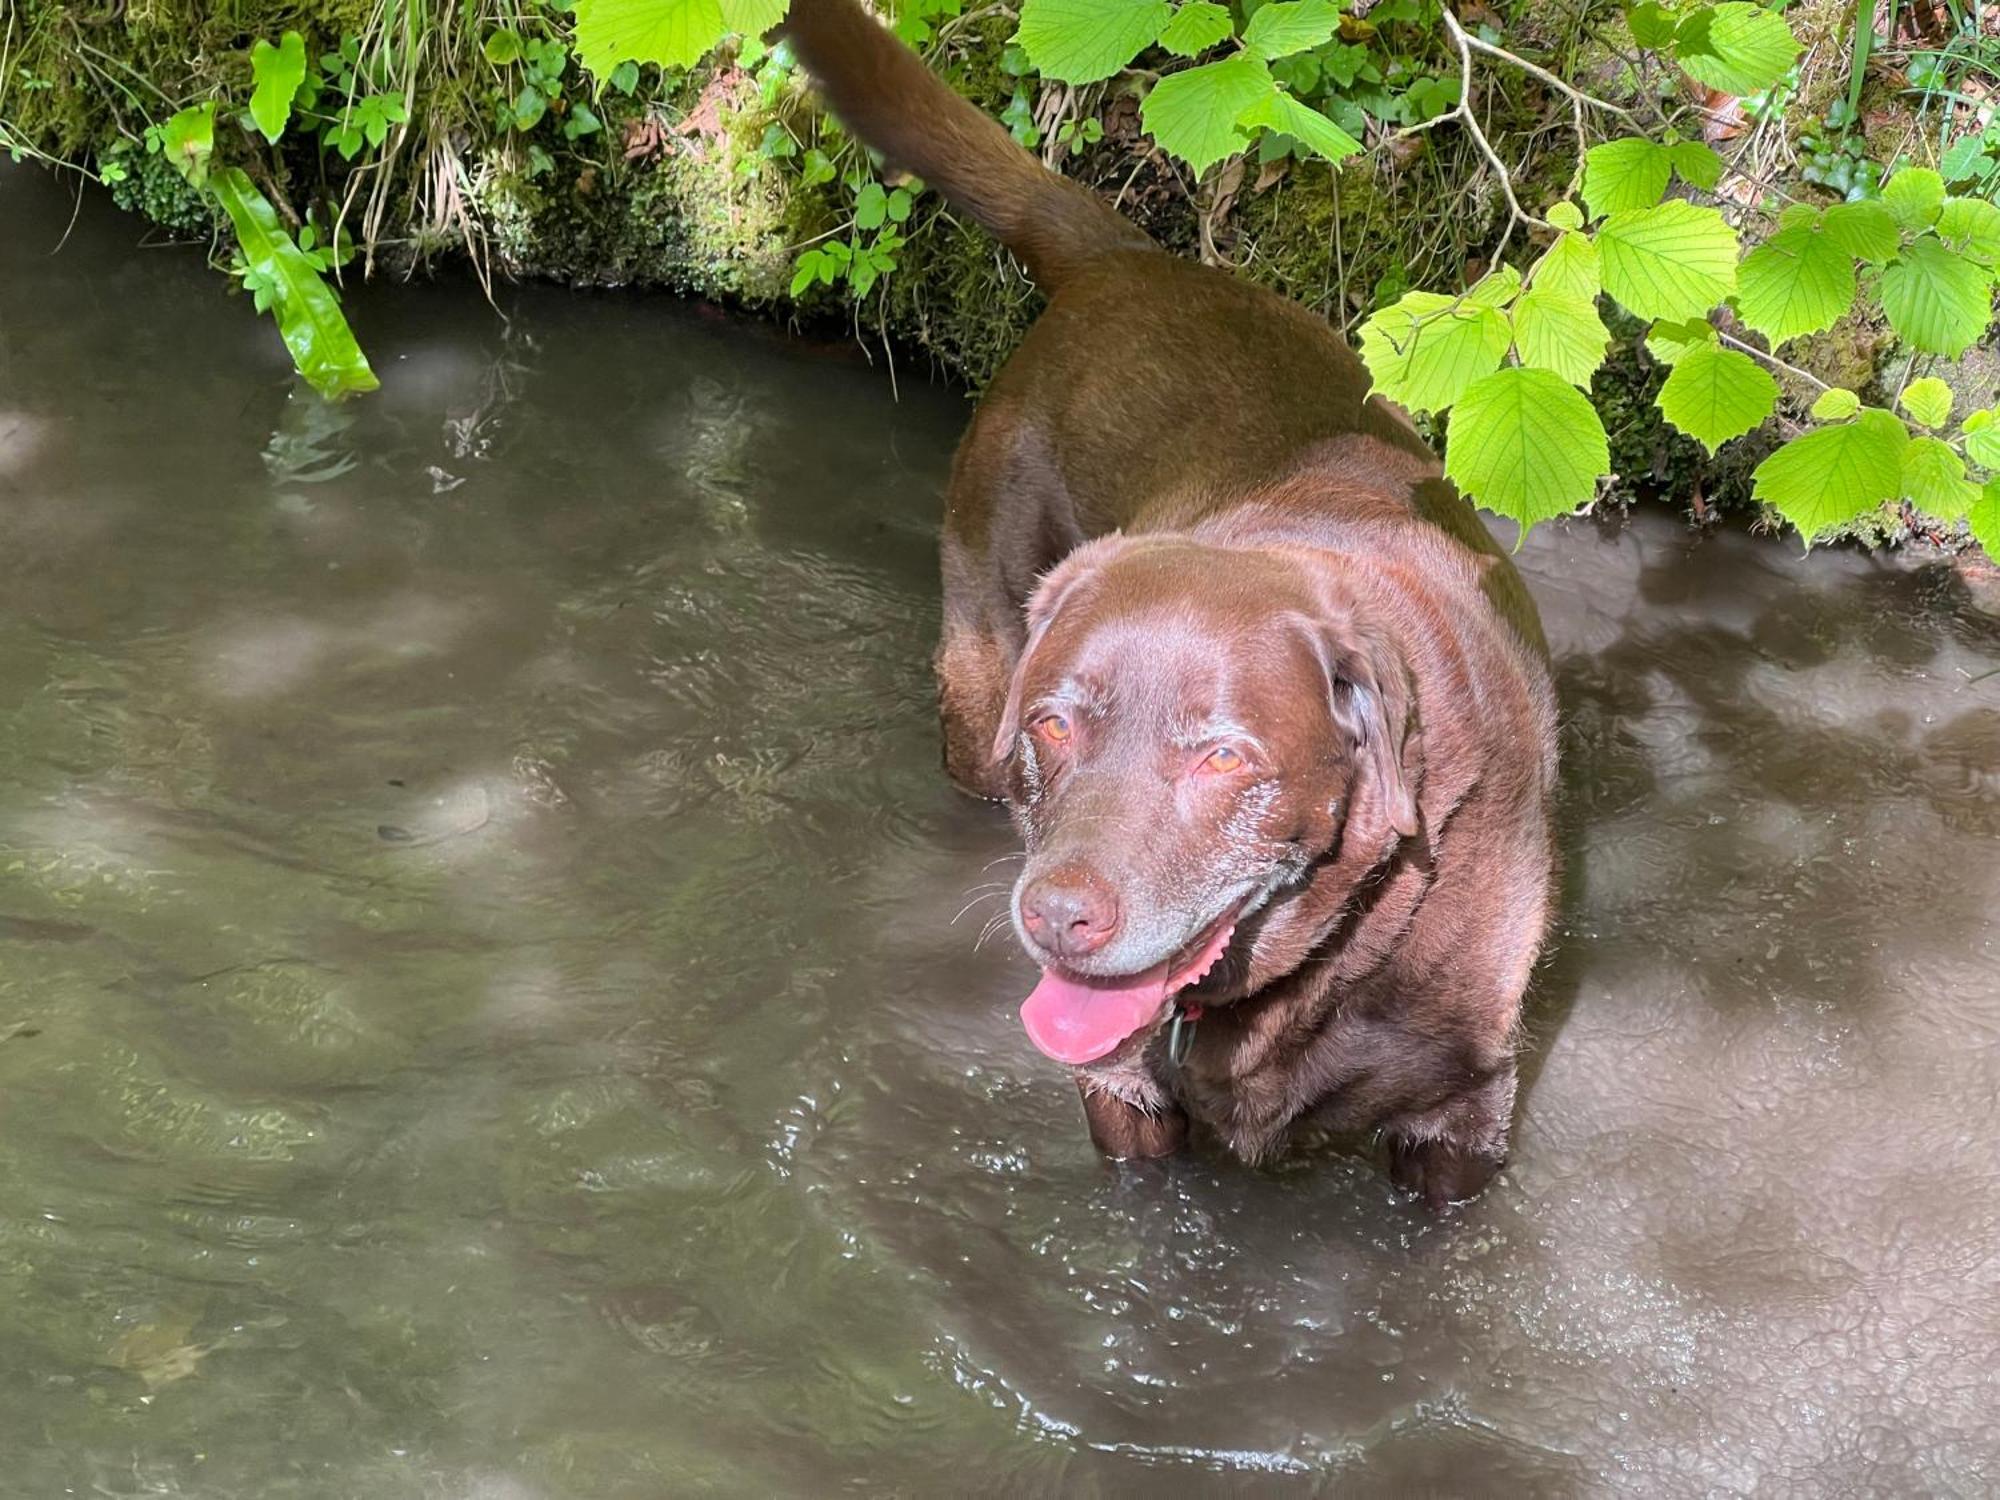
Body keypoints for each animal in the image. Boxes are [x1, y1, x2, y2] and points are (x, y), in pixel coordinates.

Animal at [780, 0, 1560, 1208]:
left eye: (1225, 757)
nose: (1055, 917)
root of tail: (1127, 259)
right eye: (1054, 726)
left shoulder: (1459, 1117)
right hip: (975, 667)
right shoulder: (1122, 1096)